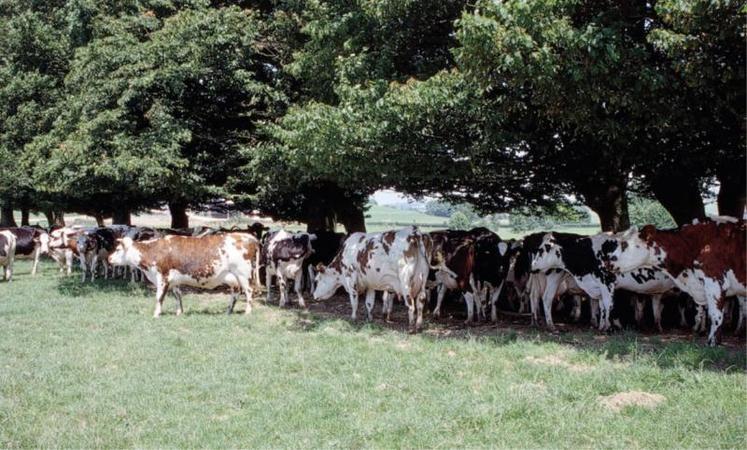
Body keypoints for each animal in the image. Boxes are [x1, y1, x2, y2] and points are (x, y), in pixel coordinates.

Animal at [108, 233, 259, 317]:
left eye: (118, 249)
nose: (109, 258)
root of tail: (249, 236)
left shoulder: (162, 277)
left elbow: (159, 297)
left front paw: (156, 314)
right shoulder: (174, 280)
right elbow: (178, 296)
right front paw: (179, 312)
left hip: (243, 274)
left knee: (249, 291)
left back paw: (247, 312)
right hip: (232, 277)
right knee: (236, 292)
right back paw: (228, 312)